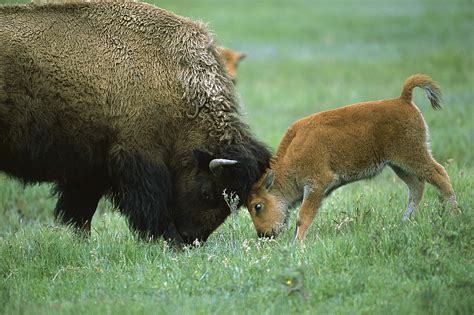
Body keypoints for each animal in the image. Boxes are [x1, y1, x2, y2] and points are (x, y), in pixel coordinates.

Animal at [0, 1, 270, 246]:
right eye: (208, 193)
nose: (191, 239)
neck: (172, 80)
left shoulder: (93, 166)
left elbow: (82, 212)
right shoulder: (137, 157)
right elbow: (151, 205)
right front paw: (169, 241)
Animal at [246, 74, 458, 242]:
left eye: (258, 206)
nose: (264, 235)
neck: (292, 153)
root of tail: (402, 100)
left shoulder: (317, 184)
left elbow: (303, 216)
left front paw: (297, 244)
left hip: (413, 155)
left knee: (439, 175)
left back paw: (455, 213)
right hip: (398, 165)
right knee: (416, 187)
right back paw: (403, 221)